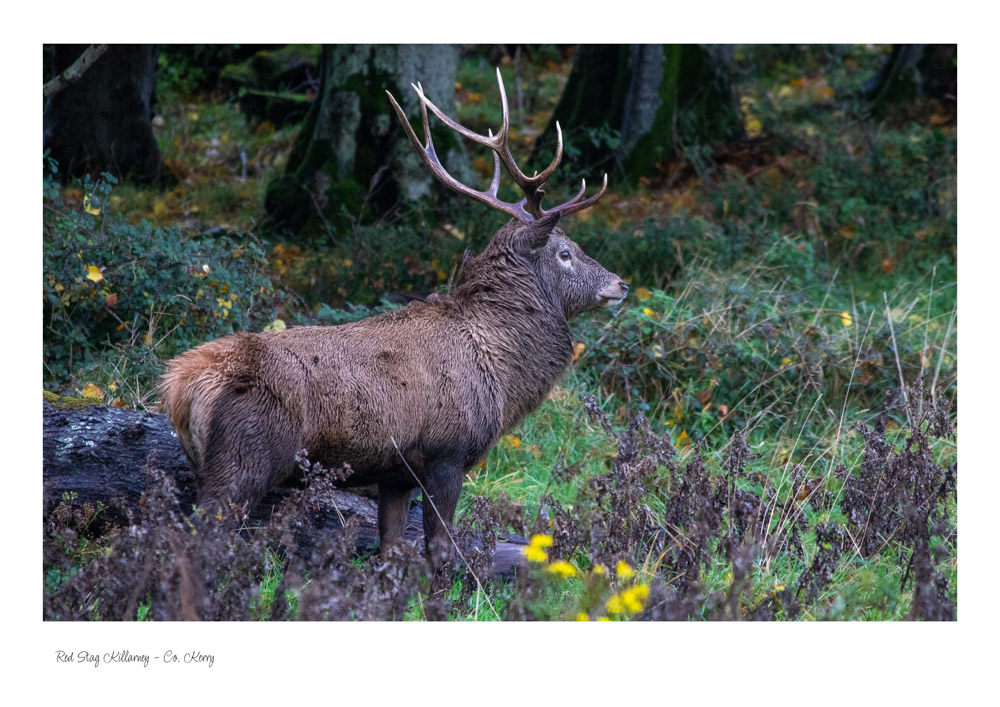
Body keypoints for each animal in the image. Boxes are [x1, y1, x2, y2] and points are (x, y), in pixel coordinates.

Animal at [160, 68, 628, 563]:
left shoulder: (396, 474)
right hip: (244, 457)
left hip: (205, 462)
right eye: (565, 253)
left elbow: (391, 548)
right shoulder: (446, 454)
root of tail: (179, 388)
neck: (501, 374)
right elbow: (439, 549)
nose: (620, 284)